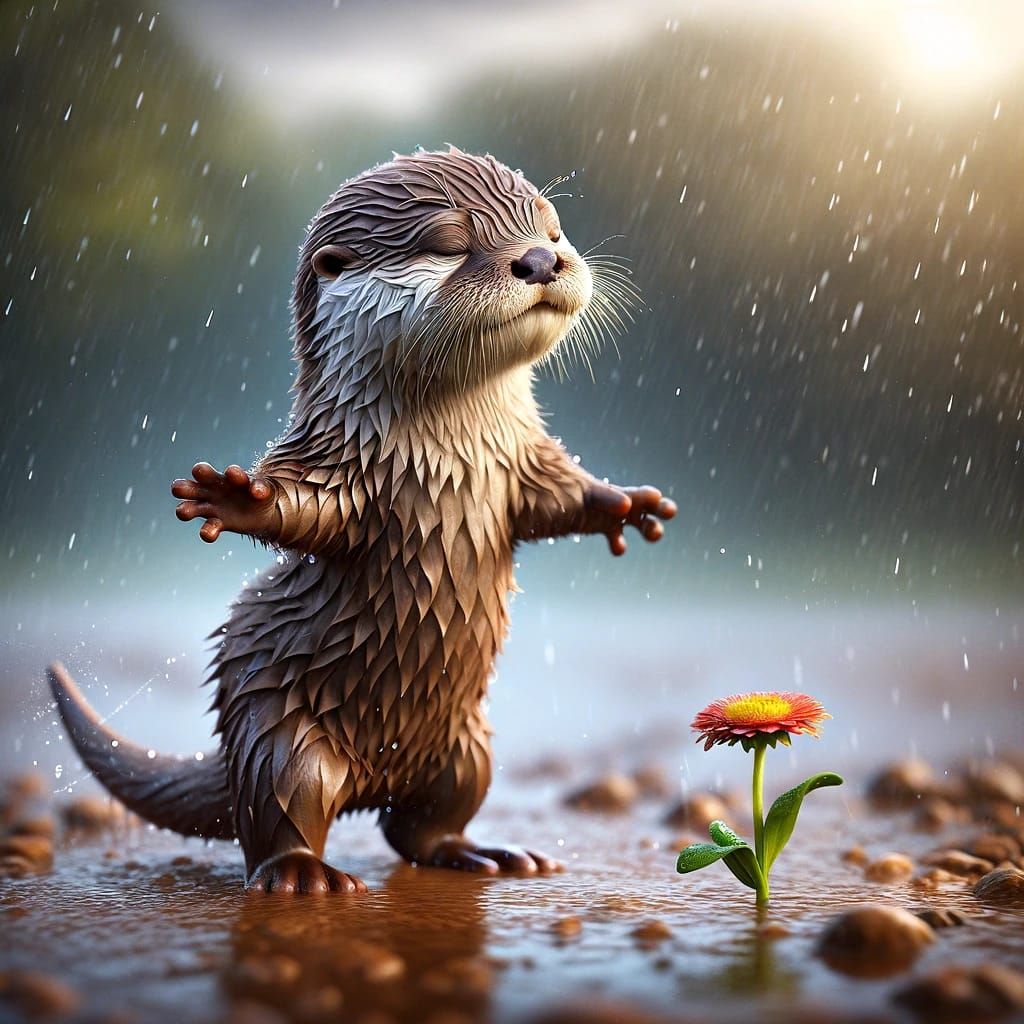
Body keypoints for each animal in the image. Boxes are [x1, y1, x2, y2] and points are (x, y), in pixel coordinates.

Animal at [49, 148, 676, 893]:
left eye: (553, 231)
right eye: (449, 244)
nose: (542, 260)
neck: (452, 452)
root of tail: (372, 780)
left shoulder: (520, 464)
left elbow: (556, 500)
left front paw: (628, 505)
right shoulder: (348, 464)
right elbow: (312, 509)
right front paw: (235, 498)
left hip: (468, 749)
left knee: (420, 828)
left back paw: (484, 853)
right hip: (280, 737)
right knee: (282, 811)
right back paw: (303, 874)